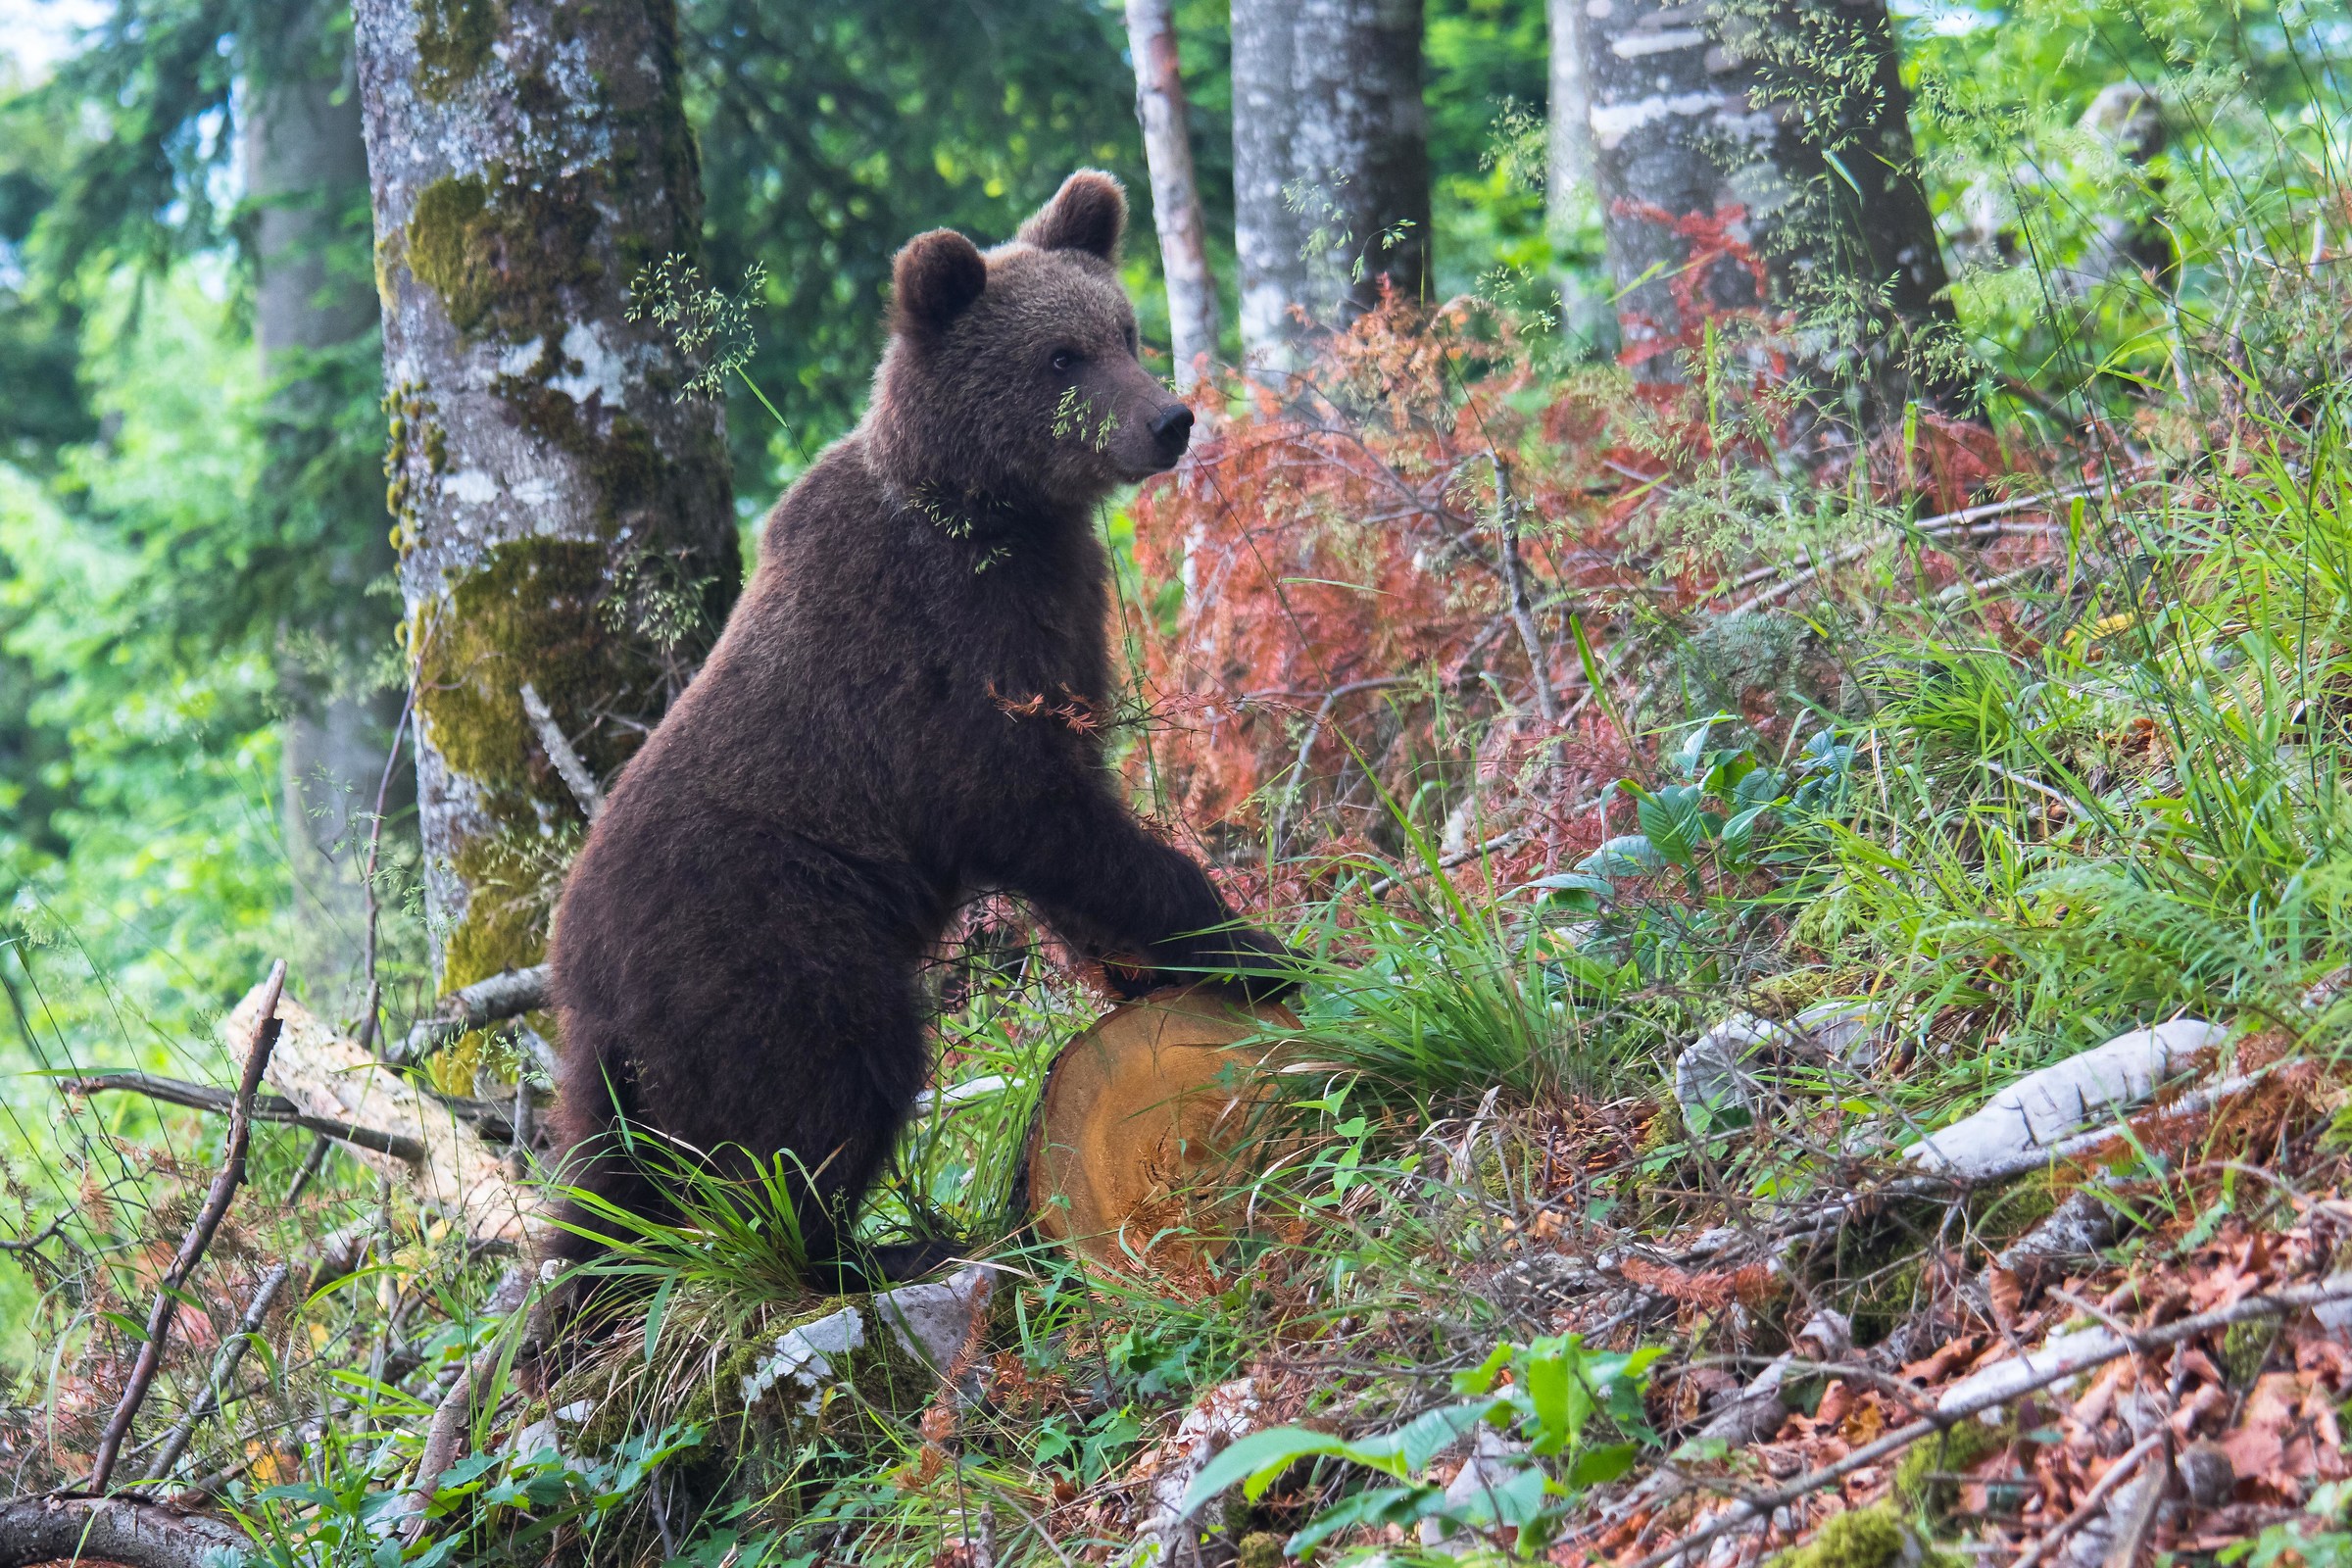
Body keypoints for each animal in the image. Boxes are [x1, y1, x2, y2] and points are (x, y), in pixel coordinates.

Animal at [544, 170, 1295, 1293]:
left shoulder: (1054, 616)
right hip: (774, 938)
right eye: (1060, 355)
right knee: (829, 1089)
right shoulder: (940, 664)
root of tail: (582, 979)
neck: (990, 510)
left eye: (1124, 329)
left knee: (621, 1179)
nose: (1169, 418)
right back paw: (866, 1250)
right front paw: (1246, 945)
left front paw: (1153, 966)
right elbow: (1045, 812)